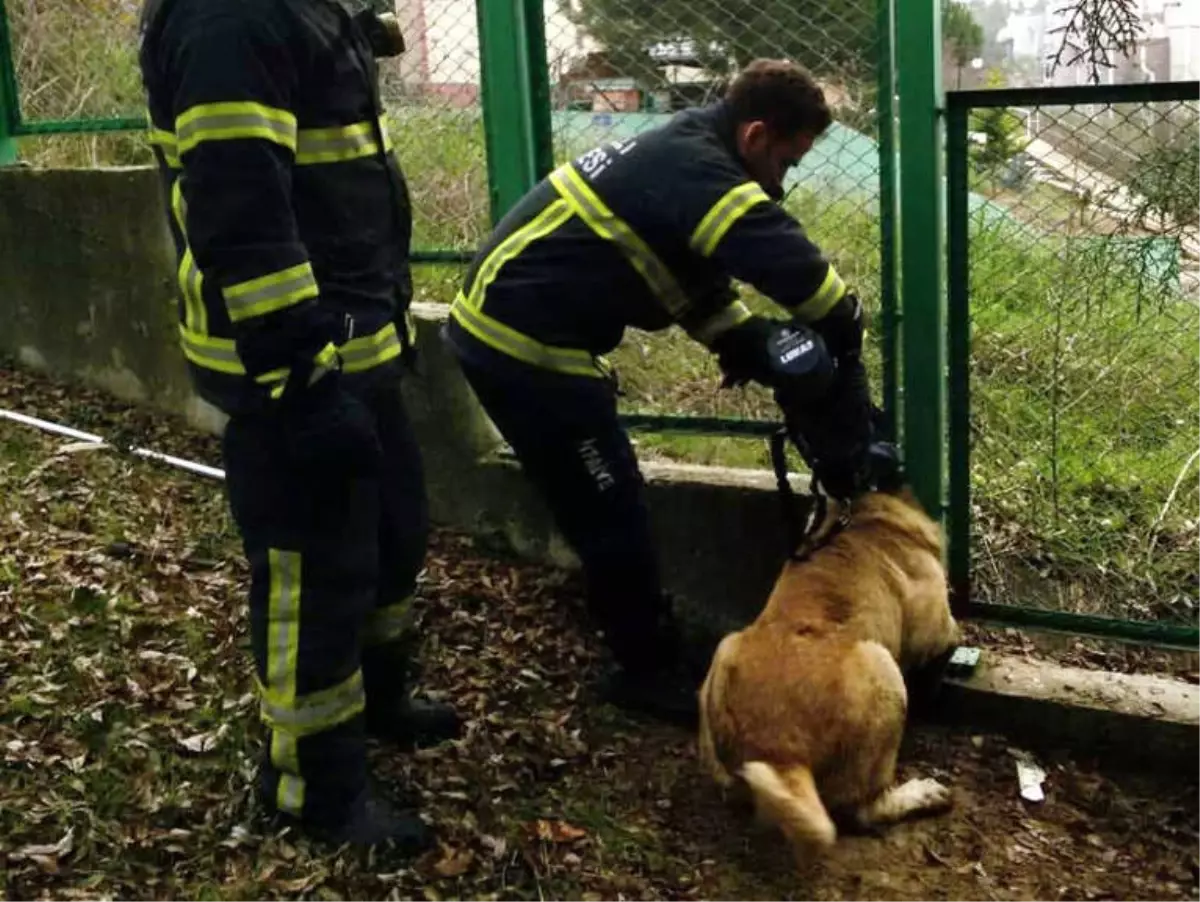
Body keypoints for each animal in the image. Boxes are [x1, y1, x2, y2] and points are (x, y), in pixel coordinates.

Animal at [700, 482, 960, 863]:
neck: (861, 514)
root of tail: (779, 752)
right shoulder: (937, 630)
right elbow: (952, 634)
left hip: (724, 650)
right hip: (884, 670)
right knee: (863, 809)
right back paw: (923, 794)